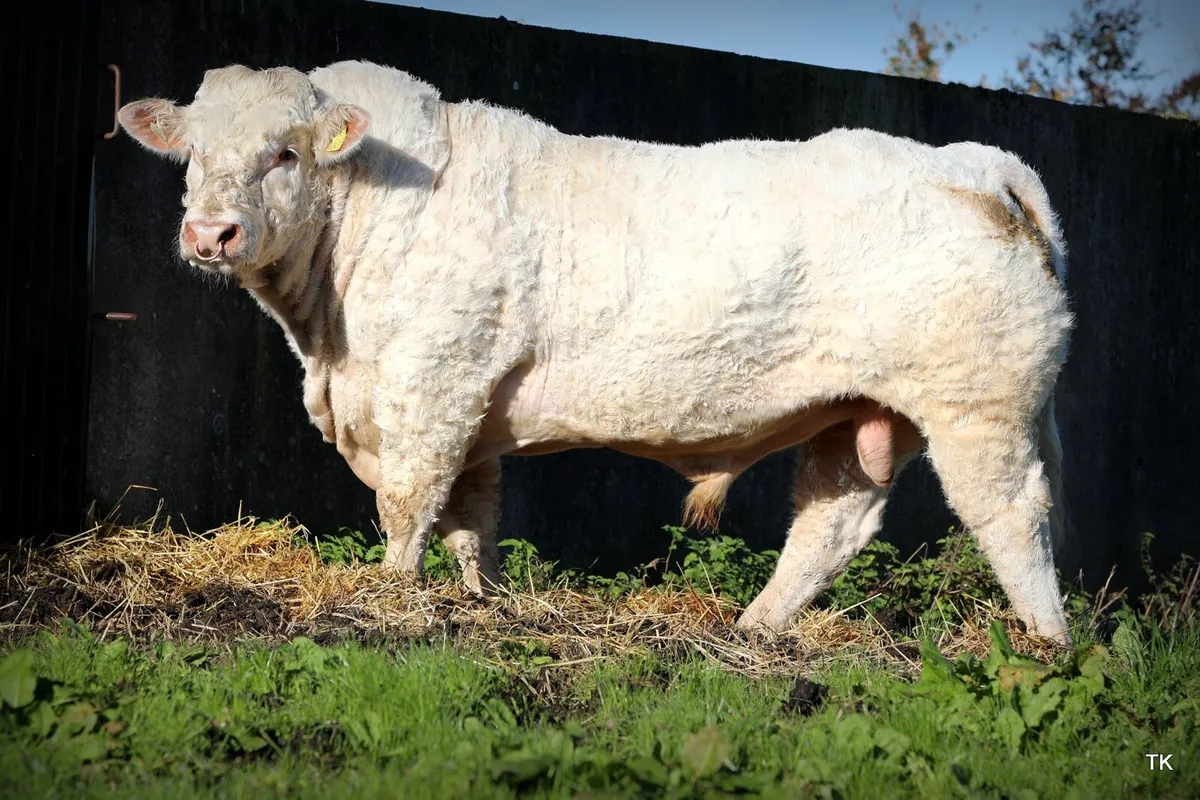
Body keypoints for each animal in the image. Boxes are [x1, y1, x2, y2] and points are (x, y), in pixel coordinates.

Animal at [117, 60, 1075, 645]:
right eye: (192, 152)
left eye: (284, 153)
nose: (210, 233)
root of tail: (980, 162)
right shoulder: (472, 403)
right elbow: (473, 524)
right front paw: (481, 606)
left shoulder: (432, 385)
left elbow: (409, 507)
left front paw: (391, 601)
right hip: (860, 413)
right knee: (832, 521)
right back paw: (754, 632)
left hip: (978, 403)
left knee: (1012, 517)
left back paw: (1046, 645)